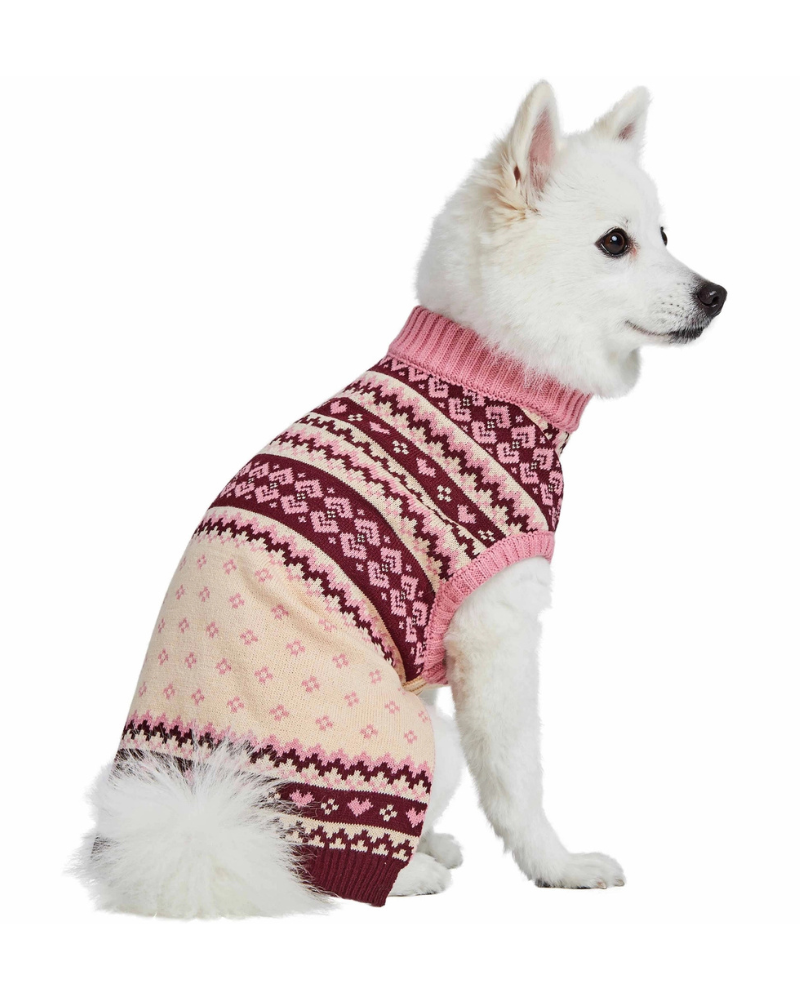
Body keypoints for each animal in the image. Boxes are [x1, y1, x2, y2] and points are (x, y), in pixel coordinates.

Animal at [76, 81, 726, 916]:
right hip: (418, 740)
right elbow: (516, 775)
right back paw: (408, 872)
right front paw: (555, 865)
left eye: (665, 233)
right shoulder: (497, 628)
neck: (487, 373)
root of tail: (191, 825)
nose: (716, 293)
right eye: (616, 243)